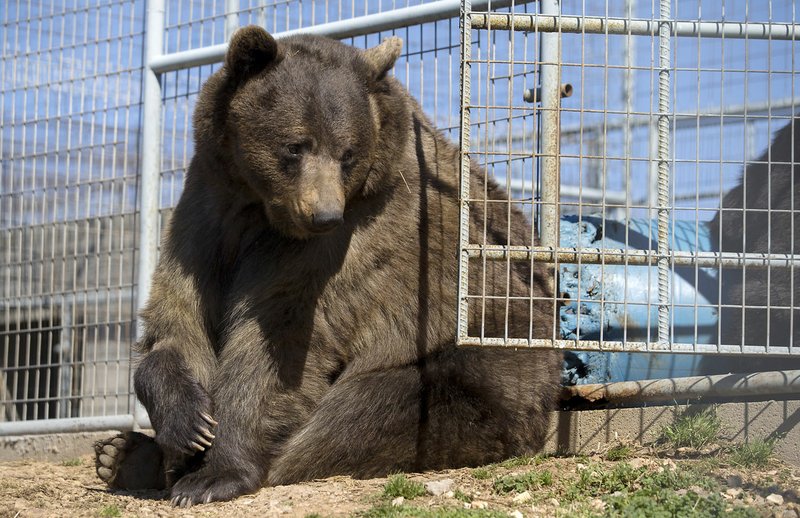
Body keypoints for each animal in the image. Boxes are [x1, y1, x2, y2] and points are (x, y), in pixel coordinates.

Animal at [95, 25, 564, 508]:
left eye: (347, 153)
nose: (324, 214)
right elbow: (177, 316)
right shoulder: (207, 210)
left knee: (362, 412)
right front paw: (189, 424)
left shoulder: (340, 250)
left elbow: (276, 342)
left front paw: (211, 476)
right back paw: (122, 454)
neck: (261, 210)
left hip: (482, 360)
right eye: (294, 146)